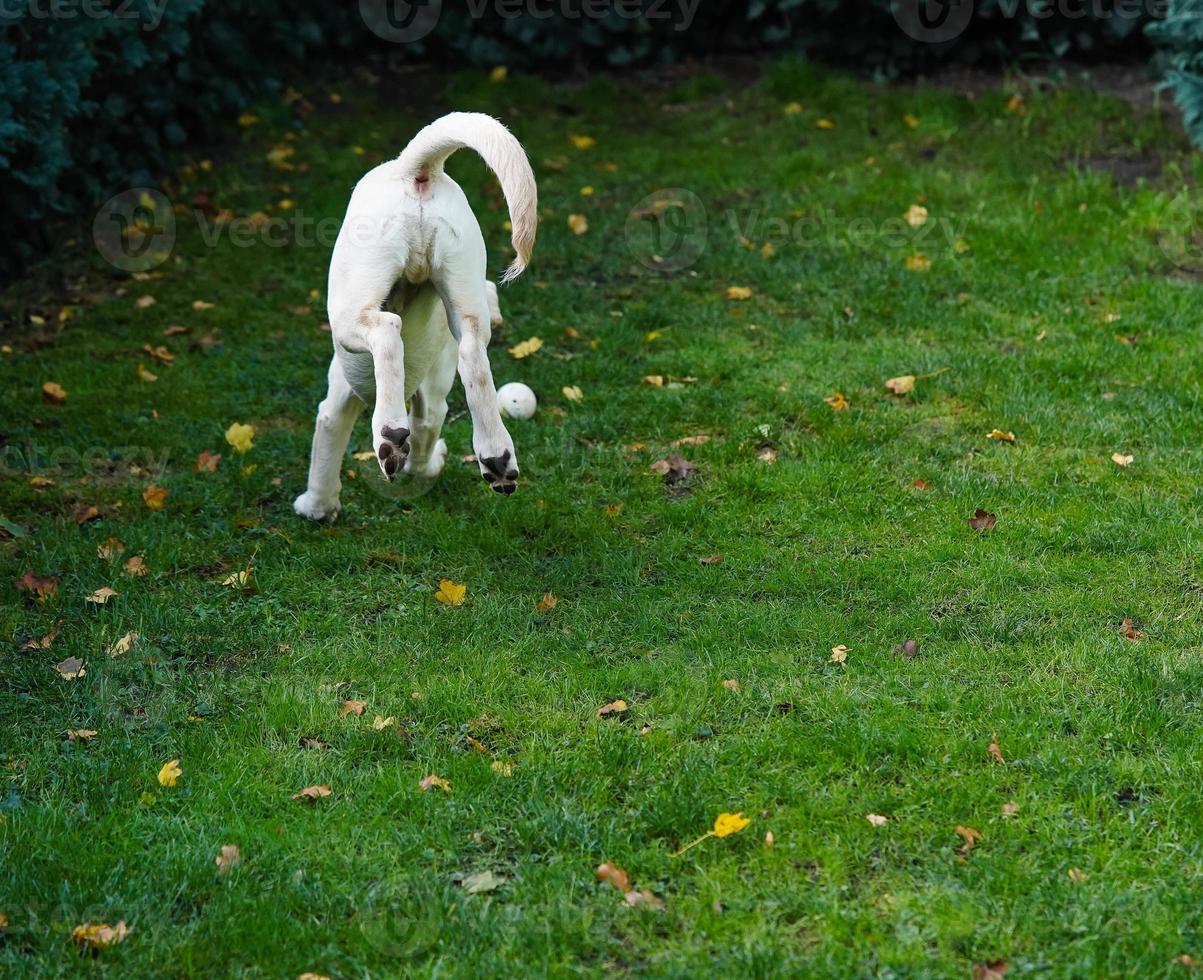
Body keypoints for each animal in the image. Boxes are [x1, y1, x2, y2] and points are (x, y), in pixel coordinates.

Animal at [293, 111, 538, 524]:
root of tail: (416, 168)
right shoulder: (425, 397)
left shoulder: (339, 404)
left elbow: (328, 448)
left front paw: (316, 507)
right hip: (465, 293)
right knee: (474, 357)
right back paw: (496, 457)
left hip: (349, 316)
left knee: (387, 330)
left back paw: (390, 433)